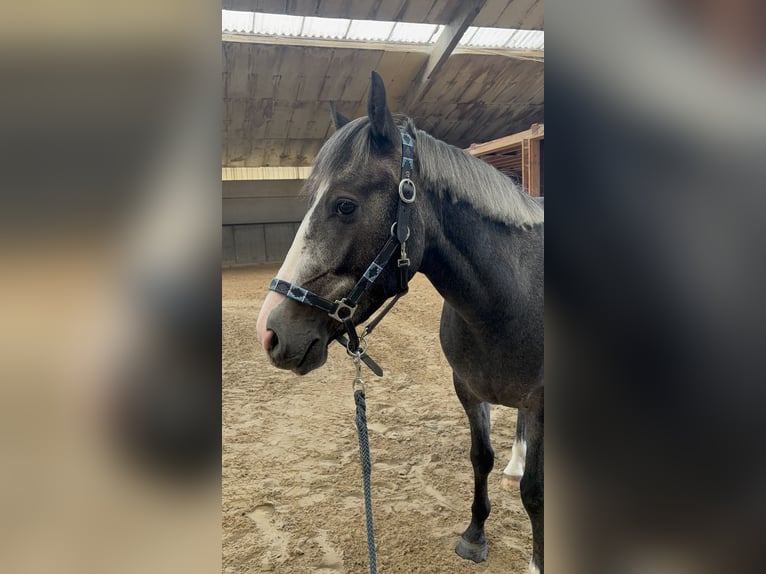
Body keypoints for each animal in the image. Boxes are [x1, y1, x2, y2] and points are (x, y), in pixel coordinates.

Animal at [255, 71, 544, 573]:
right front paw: (474, 534)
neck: (510, 302)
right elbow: (480, 458)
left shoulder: (544, 401)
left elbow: (536, 493)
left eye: (345, 205)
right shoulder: (467, 389)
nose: (270, 332)